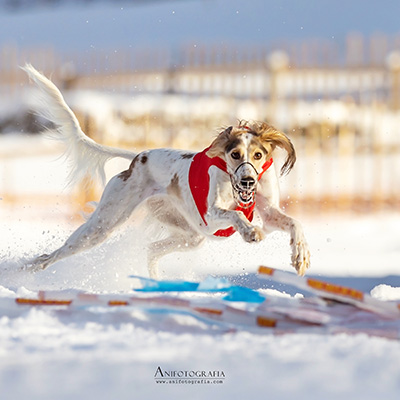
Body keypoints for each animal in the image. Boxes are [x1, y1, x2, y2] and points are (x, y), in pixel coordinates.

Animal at [23, 65, 310, 278]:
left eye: (258, 155)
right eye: (234, 154)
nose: (249, 181)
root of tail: (137, 158)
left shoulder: (268, 215)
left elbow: (294, 222)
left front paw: (301, 256)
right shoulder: (211, 216)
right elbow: (236, 215)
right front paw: (250, 231)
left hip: (190, 235)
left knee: (151, 249)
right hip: (103, 224)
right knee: (54, 254)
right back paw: (27, 269)